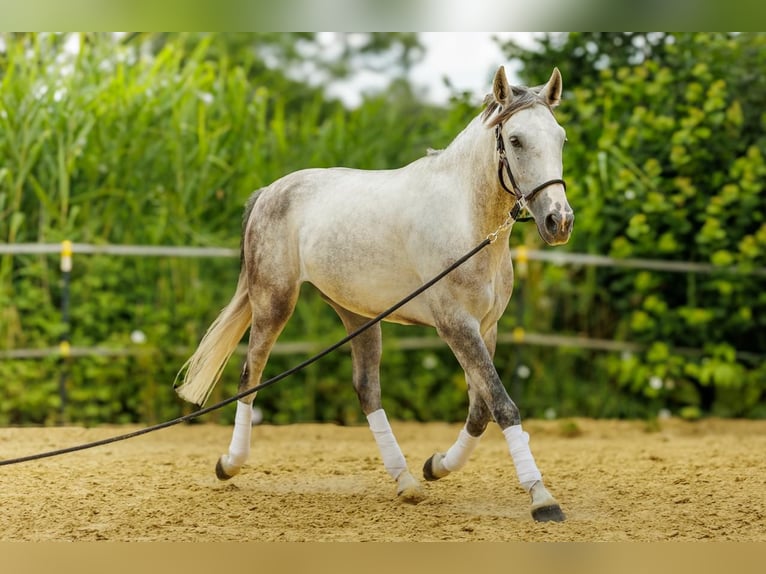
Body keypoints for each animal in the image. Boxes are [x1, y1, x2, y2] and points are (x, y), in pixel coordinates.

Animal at [175, 66, 573, 522]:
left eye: (560, 137)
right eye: (516, 140)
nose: (559, 221)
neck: (466, 221)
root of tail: (269, 192)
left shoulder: (485, 328)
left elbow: (480, 410)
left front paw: (436, 466)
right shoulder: (456, 326)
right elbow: (503, 405)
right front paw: (542, 498)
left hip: (358, 315)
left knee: (367, 390)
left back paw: (407, 482)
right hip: (274, 301)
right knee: (250, 376)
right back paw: (230, 464)